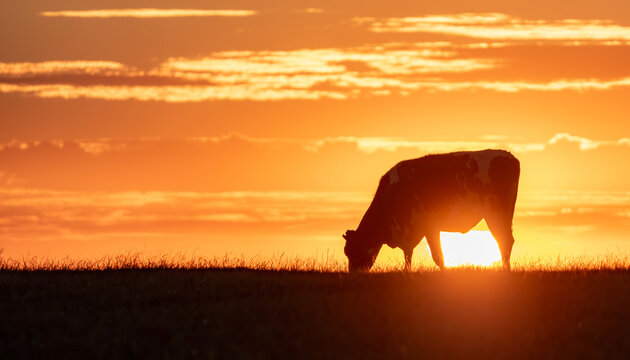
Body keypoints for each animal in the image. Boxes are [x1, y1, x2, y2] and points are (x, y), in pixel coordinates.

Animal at [344, 150, 520, 272]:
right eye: (347, 252)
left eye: (352, 250)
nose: (354, 274)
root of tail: (508, 156)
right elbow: (411, 255)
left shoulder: (427, 227)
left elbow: (437, 256)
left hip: (495, 214)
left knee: (503, 240)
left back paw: (505, 269)